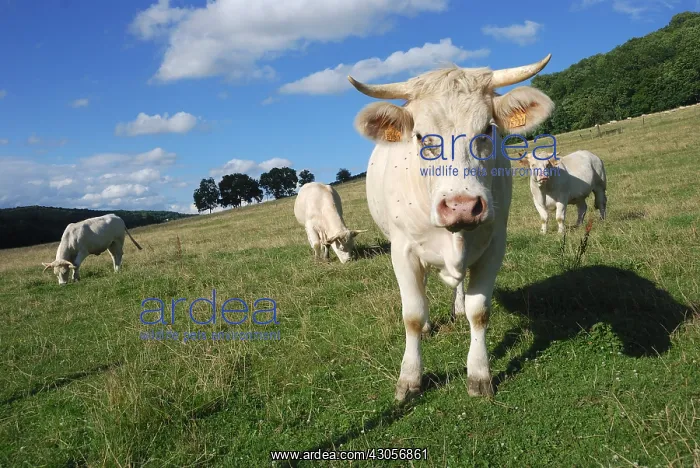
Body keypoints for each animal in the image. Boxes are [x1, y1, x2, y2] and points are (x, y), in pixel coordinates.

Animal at [349, 54, 555, 402]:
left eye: (487, 129)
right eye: (421, 136)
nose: (461, 206)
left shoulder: (494, 245)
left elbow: (479, 311)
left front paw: (480, 373)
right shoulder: (402, 251)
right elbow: (413, 315)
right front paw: (409, 378)